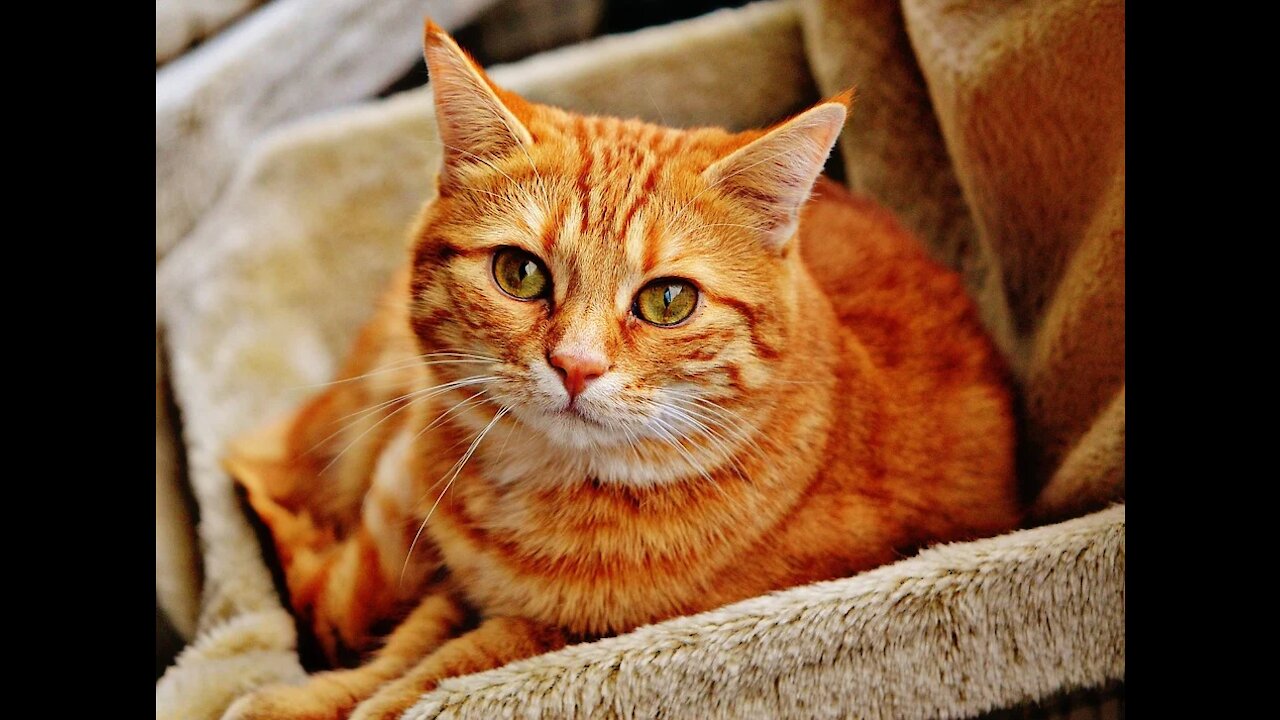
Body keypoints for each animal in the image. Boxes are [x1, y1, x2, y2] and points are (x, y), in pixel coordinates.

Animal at [220, 19, 1018, 717]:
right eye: (519, 273)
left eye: (668, 300)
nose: (575, 365)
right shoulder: (459, 582)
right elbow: (404, 645)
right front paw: (309, 699)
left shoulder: (568, 636)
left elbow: (451, 669)